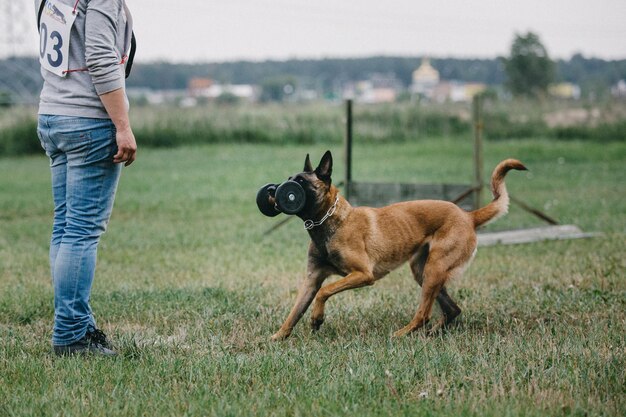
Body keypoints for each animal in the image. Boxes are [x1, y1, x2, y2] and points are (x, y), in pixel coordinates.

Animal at [270, 151, 524, 340]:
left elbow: (324, 292)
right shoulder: (312, 280)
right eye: (290, 178)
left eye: (300, 182)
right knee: (452, 309)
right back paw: (431, 333)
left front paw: (317, 318)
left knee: (424, 314)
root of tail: (468, 216)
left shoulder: (363, 274)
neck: (330, 222)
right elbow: (295, 311)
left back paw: (402, 334)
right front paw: (278, 336)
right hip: (422, 271)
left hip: (434, 269)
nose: (274, 190)